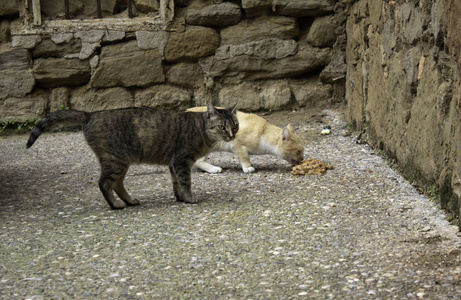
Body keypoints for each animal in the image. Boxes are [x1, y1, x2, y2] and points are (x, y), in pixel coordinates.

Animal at [26, 103, 237, 209]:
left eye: (234, 125)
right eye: (221, 127)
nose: (231, 135)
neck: (202, 130)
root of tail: (90, 114)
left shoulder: (173, 164)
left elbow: (176, 183)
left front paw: (180, 197)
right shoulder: (181, 161)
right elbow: (185, 182)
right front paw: (190, 198)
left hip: (121, 163)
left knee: (117, 185)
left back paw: (129, 201)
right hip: (114, 161)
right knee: (104, 184)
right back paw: (116, 205)